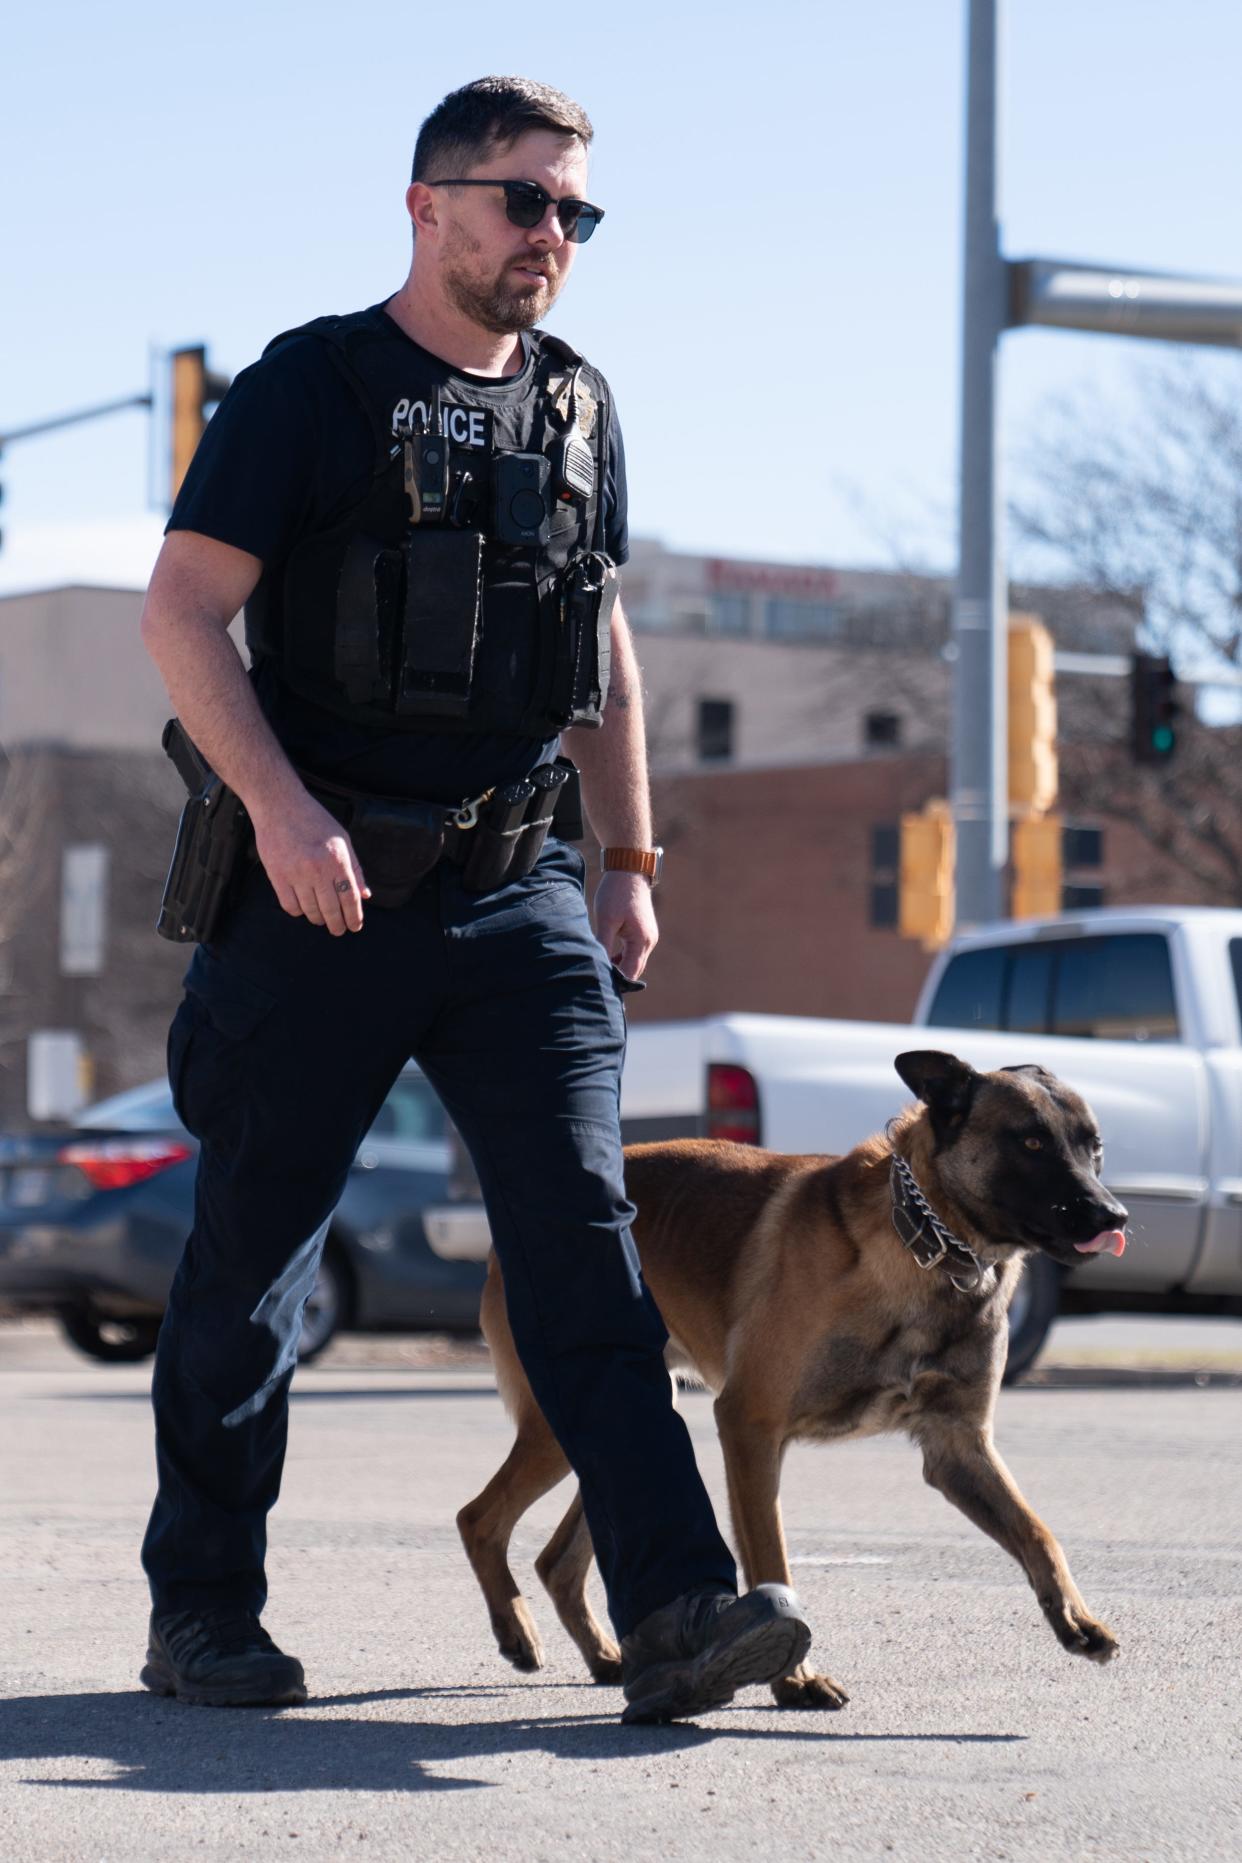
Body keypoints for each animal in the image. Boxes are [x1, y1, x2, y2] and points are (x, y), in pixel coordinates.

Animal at [456, 1050, 1124, 1706]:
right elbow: (772, 1560)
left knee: (557, 1559)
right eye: (1032, 1142)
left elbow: (1038, 1532)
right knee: (479, 1519)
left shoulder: (958, 1448)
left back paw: (607, 1656)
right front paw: (794, 1678)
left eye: (1094, 1146)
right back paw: (517, 1631)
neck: (926, 1244)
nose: (1113, 1214)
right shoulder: (749, 1427)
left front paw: (1076, 1619)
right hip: (559, 1426)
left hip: (623, 1413)